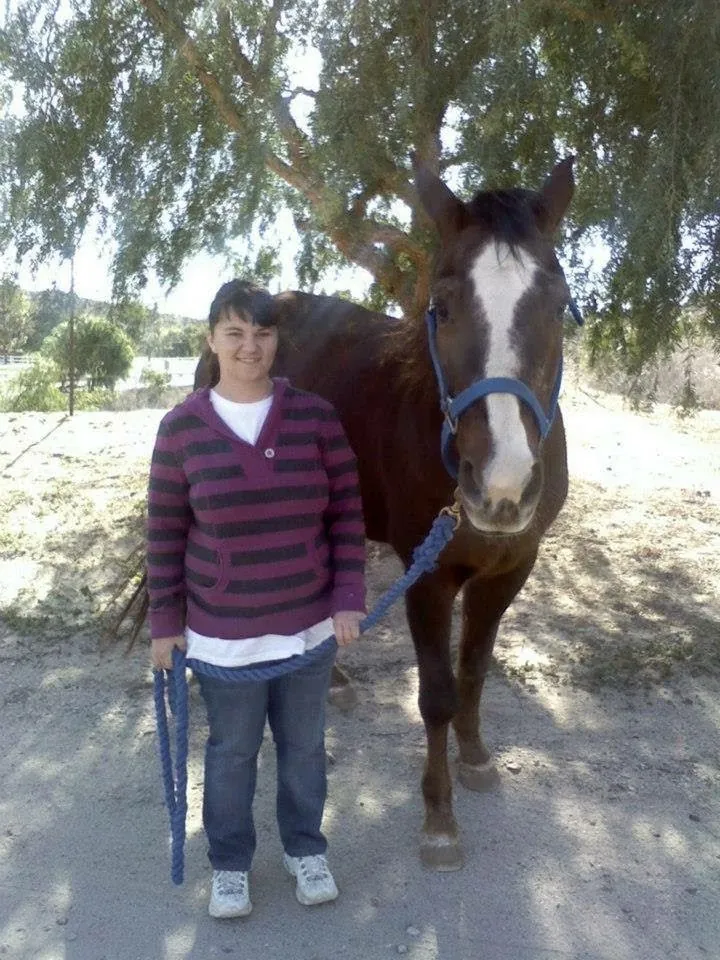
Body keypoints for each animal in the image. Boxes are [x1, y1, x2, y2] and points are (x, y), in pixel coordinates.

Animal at [193, 156, 576, 870]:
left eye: (560, 304)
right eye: (442, 307)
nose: (502, 484)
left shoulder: (512, 566)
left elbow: (474, 669)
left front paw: (477, 761)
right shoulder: (426, 577)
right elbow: (437, 695)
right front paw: (439, 819)